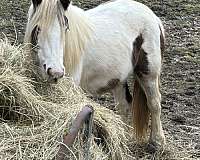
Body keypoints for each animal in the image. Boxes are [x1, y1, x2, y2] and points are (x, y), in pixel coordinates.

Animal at [25, 0, 166, 148]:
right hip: (118, 80)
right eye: (38, 29)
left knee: (154, 103)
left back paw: (157, 142)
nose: (56, 72)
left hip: (148, 74)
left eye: (65, 27)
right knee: (124, 106)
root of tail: (153, 18)